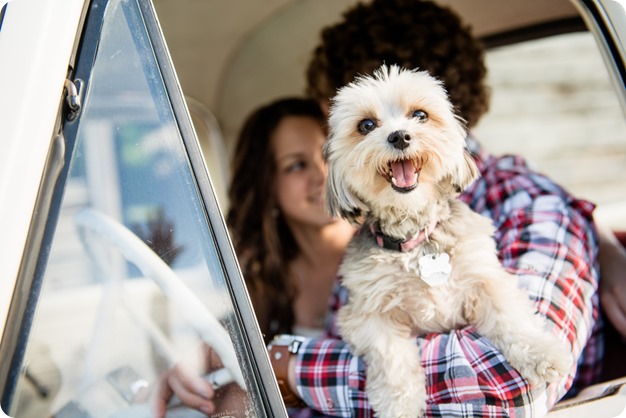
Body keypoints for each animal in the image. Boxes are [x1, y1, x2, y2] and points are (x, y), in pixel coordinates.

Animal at [324, 65, 572, 418]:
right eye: (366, 125)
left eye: (420, 115)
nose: (400, 136)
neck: (415, 234)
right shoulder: (369, 315)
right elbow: (393, 361)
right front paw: (400, 406)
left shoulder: (487, 279)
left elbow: (512, 317)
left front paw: (542, 352)